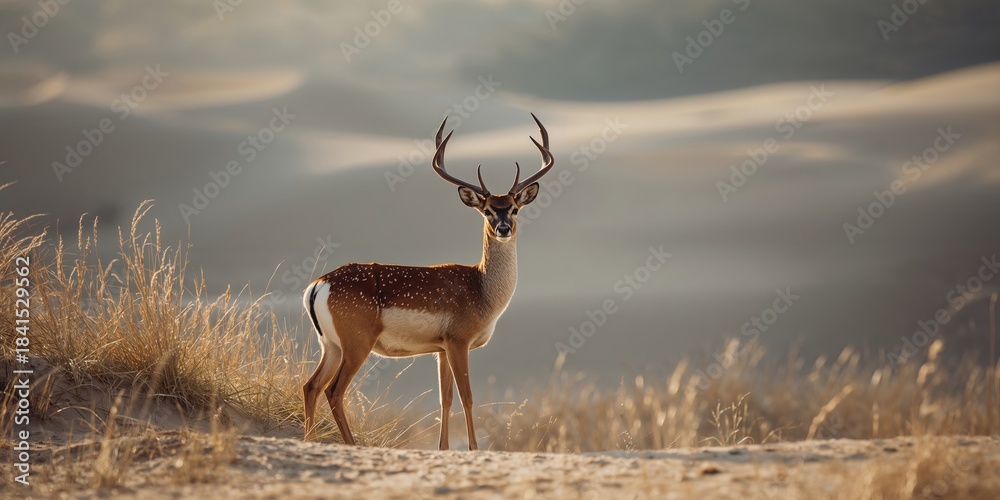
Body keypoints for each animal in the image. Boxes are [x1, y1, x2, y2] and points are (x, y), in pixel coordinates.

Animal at [302, 114, 554, 450]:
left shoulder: (441, 348)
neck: (481, 289)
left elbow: (445, 399)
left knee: (311, 386)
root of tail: (318, 285)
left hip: (330, 344)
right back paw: (351, 444)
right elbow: (467, 397)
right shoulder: (458, 341)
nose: (503, 227)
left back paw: (310, 439)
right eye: (487, 210)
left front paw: (444, 448)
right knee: (334, 390)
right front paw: (473, 449)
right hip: (356, 343)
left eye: (514, 208)